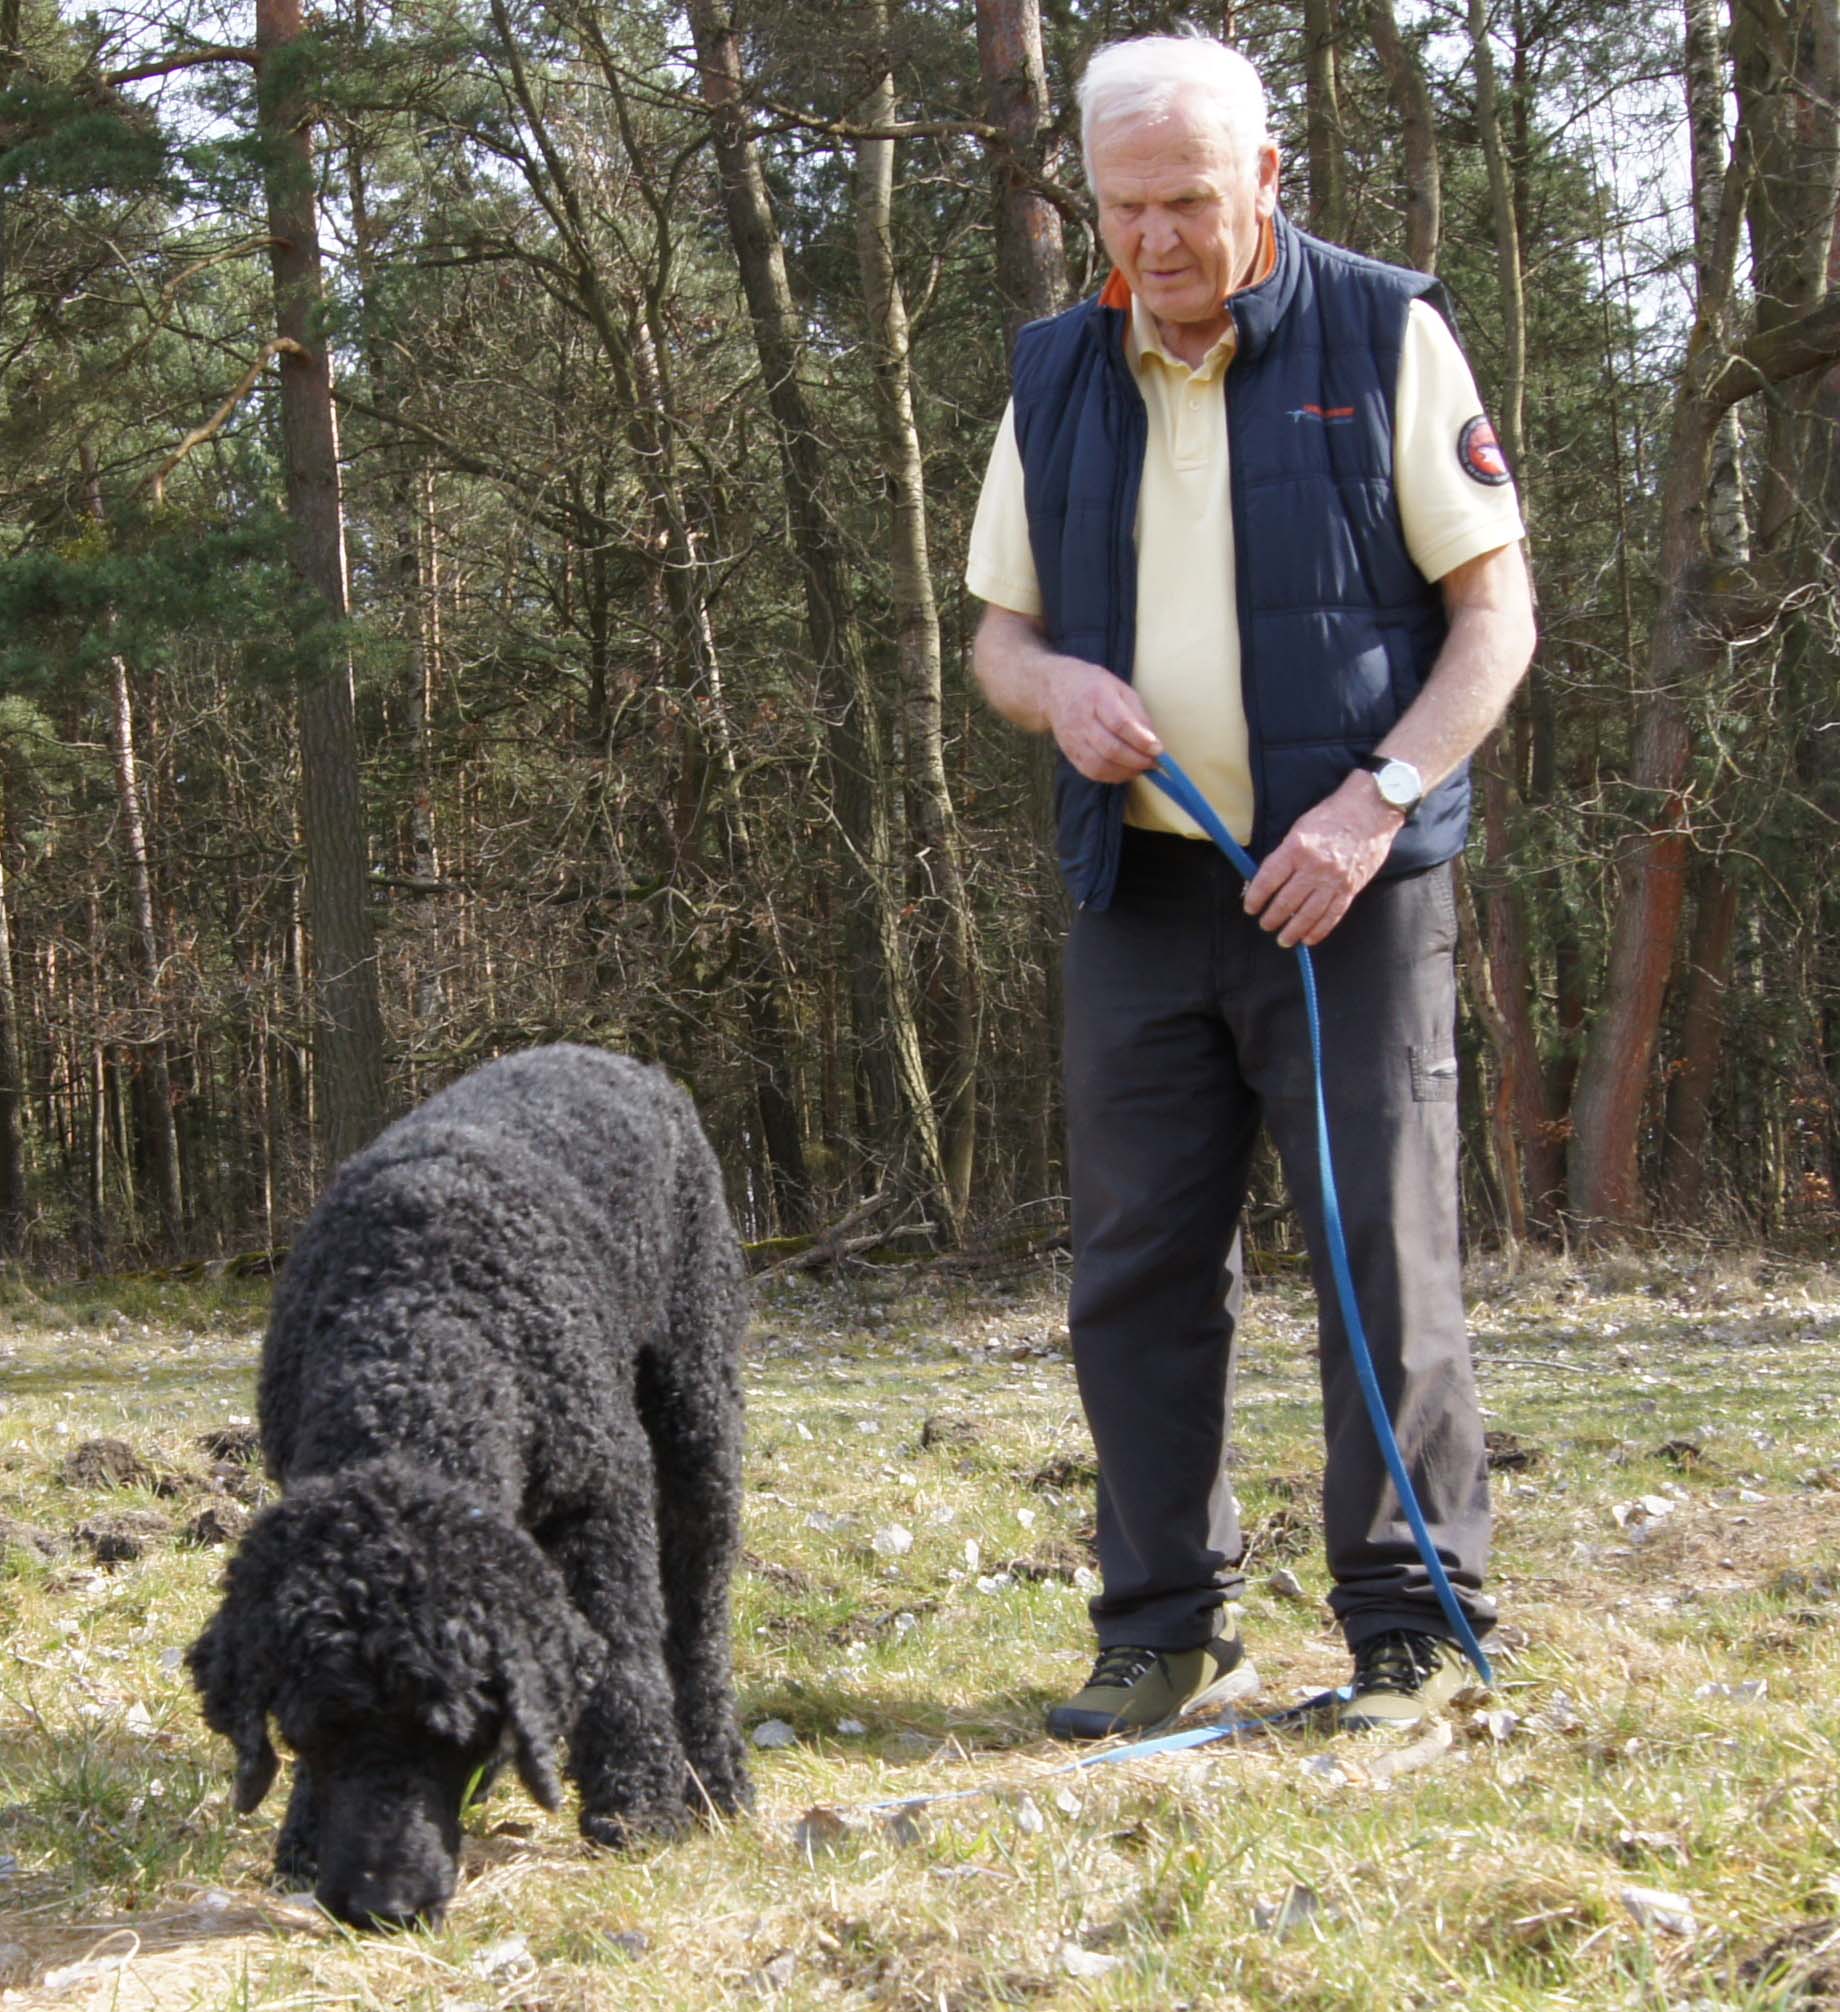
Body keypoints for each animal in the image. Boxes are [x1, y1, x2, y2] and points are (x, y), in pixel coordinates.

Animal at [191, 1046, 752, 1923]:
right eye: (314, 1729)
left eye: (449, 1734)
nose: (379, 1904)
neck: (417, 1323)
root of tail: (612, 1056)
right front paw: (302, 1840)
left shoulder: (603, 1495)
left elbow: (625, 1653)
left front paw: (637, 1807)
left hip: (696, 1409)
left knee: (697, 1613)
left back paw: (714, 1774)